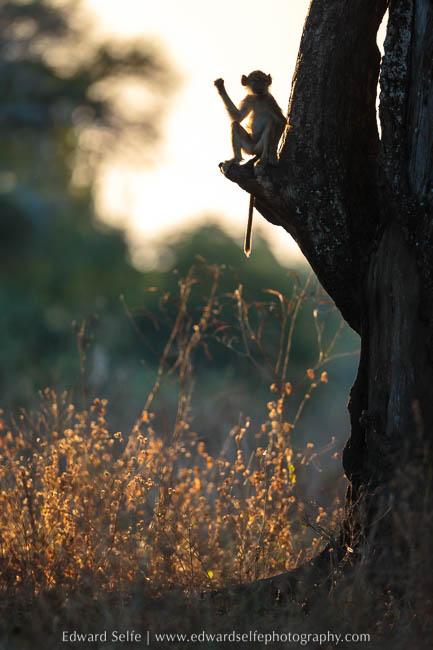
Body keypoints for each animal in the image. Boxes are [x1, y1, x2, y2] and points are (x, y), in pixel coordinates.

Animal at [214, 71, 286, 257]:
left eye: (263, 81)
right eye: (254, 81)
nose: (259, 86)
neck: (259, 97)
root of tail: (255, 151)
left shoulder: (270, 100)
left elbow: (281, 120)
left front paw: (274, 156)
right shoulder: (249, 98)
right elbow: (238, 117)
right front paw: (220, 86)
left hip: (260, 146)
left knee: (271, 122)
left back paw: (264, 159)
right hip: (249, 145)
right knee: (234, 125)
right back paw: (235, 159)